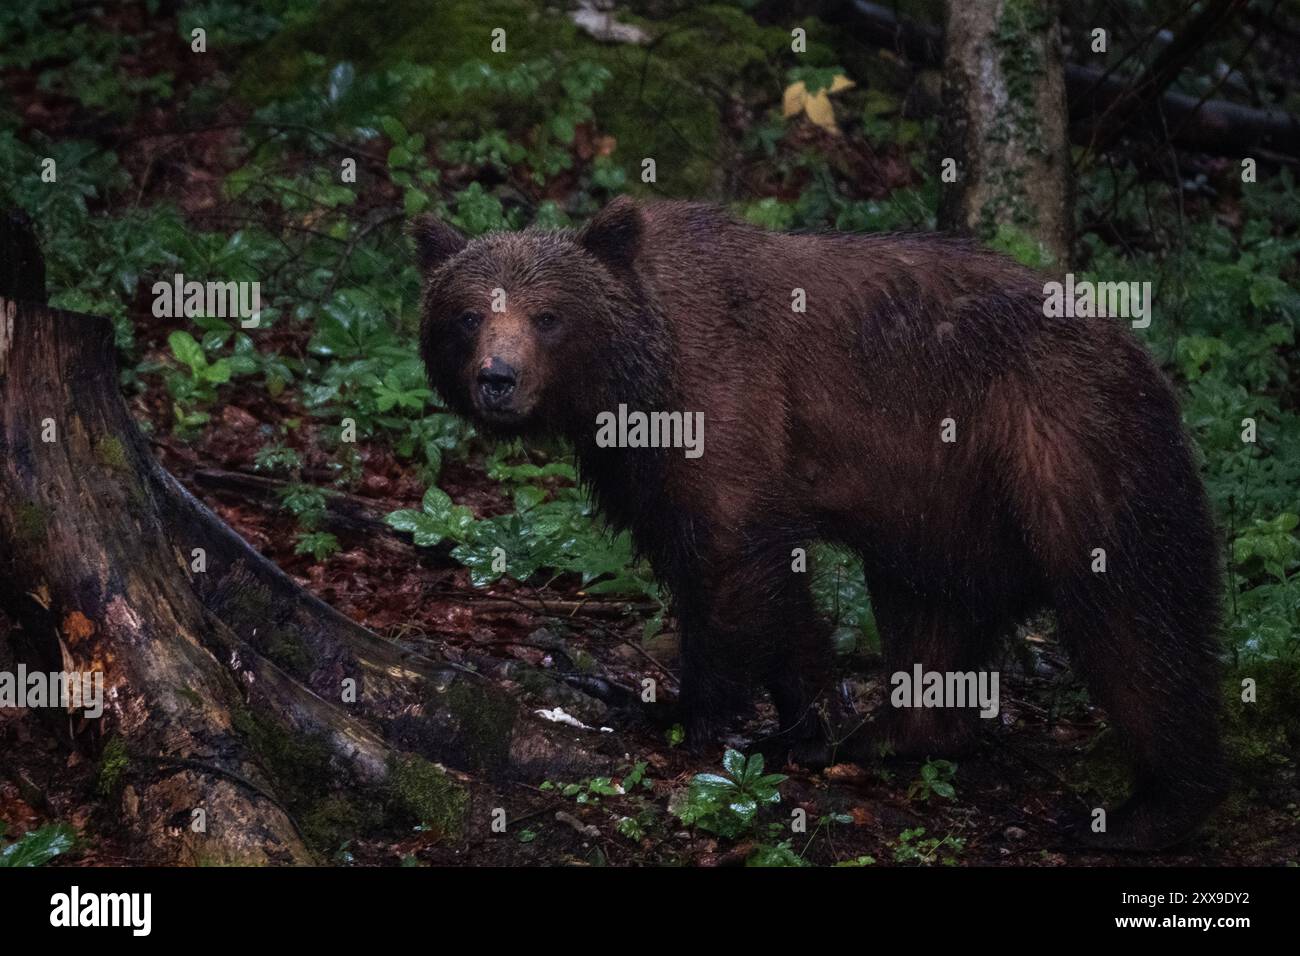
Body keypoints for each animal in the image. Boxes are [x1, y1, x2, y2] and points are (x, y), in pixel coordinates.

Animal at [414, 196, 1226, 850]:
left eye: (547, 316)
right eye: (467, 314)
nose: (497, 379)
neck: (637, 374)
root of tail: (1141, 354)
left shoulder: (726, 402)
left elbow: (731, 564)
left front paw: (694, 712)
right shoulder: (641, 462)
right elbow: (743, 580)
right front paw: (800, 722)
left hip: (1070, 447)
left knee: (1135, 622)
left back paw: (1148, 811)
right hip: (947, 505)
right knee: (930, 609)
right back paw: (894, 732)